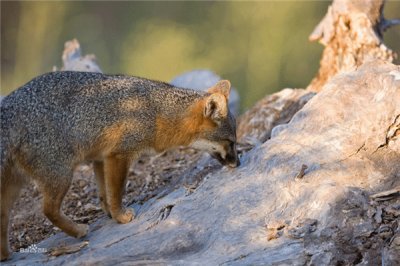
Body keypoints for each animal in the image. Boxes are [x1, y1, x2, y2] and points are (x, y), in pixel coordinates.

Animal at [0, 70, 239, 260]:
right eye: (231, 142)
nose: (238, 162)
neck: (158, 112)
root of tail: (9, 107)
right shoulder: (119, 155)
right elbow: (116, 192)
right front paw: (121, 217)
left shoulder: (100, 157)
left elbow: (104, 193)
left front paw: (109, 213)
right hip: (61, 174)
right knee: (48, 209)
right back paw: (78, 231)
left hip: (14, 187)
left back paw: (6, 255)